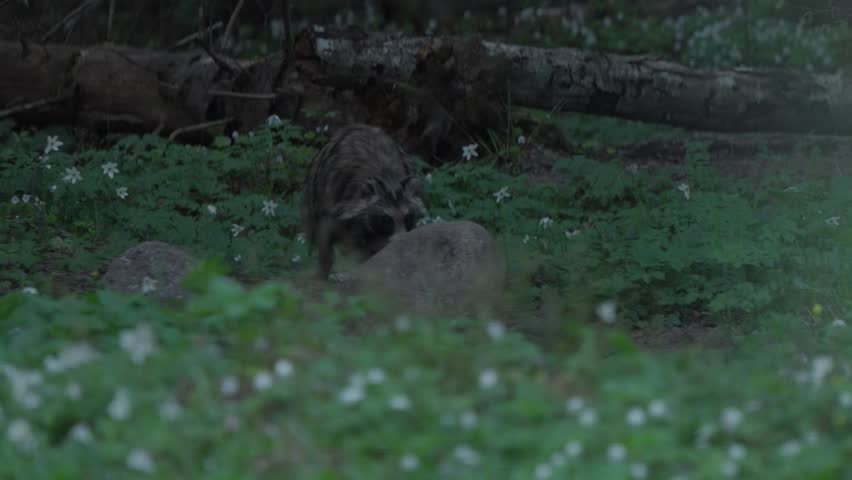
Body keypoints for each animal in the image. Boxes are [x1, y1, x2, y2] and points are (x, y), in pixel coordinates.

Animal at [301, 124, 428, 280]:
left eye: (407, 217)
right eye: (387, 219)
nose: (400, 241)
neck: (389, 180)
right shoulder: (338, 202)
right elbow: (333, 234)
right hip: (315, 193)